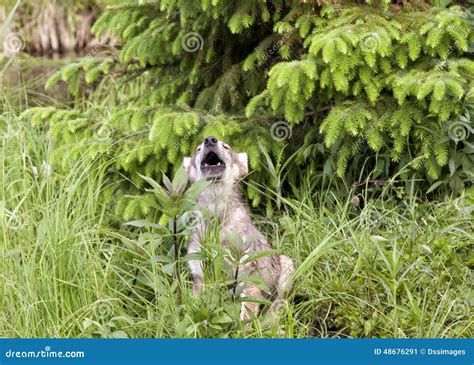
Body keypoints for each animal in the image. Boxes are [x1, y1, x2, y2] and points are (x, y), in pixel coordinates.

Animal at [183, 136, 294, 318]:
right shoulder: (200, 277)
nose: (210, 139)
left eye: (226, 147)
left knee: (278, 305)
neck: (216, 219)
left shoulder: (248, 279)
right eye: (198, 150)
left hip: (287, 267)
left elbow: (245, 318)